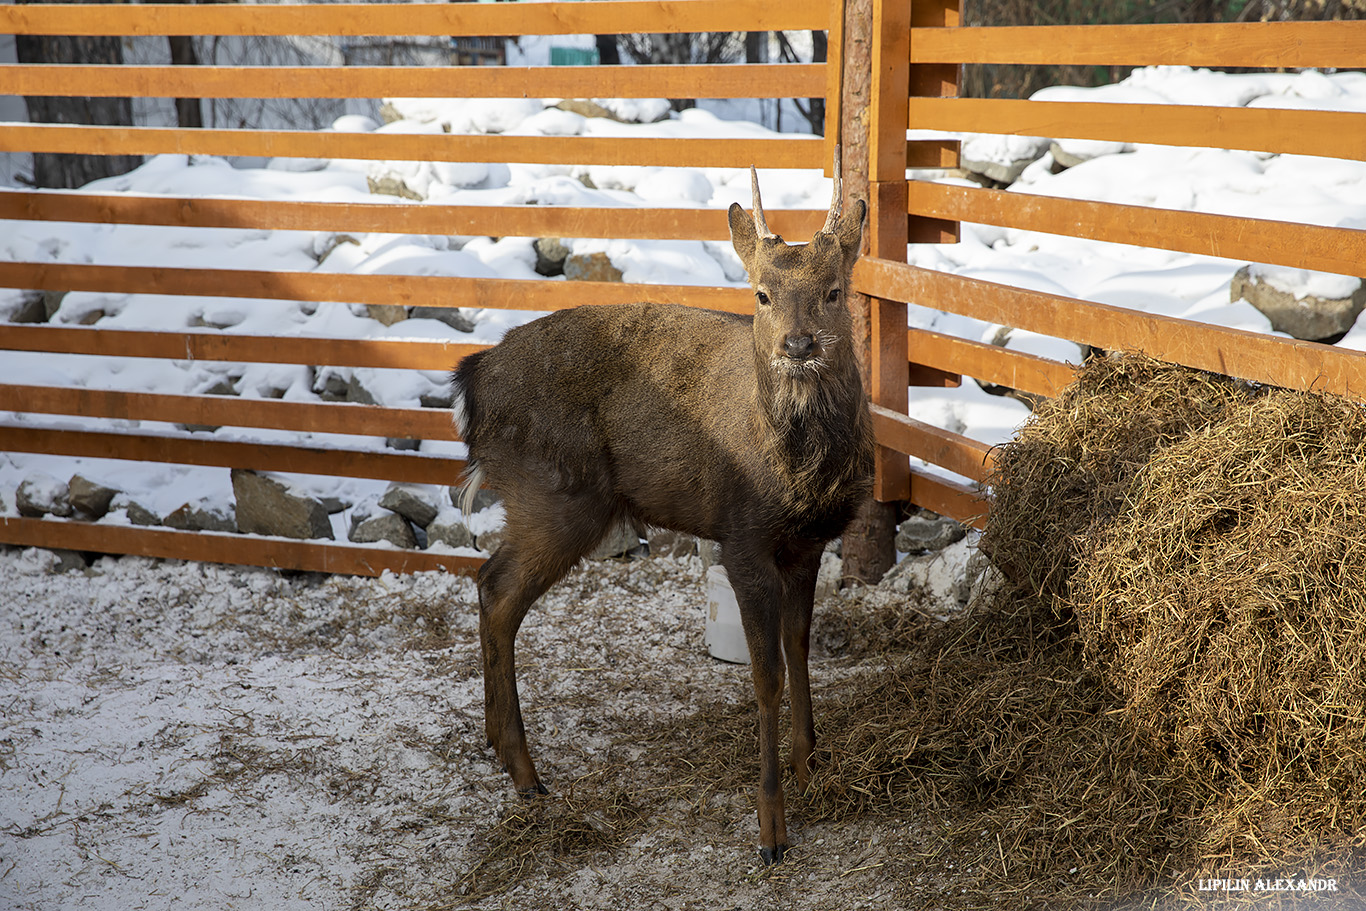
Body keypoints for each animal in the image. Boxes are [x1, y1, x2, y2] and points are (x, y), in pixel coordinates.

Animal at [453, 160, 868, 868]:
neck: (798, 472)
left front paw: (810, 765)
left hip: (542, 499)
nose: (798, 343)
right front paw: (771, 829)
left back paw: (496, 746)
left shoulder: (809, 544)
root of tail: (471, 383)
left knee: (484, 582)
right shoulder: (742, 536)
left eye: (834, 291)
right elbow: (766, 676)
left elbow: (801, 649)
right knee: (499, 591)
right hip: (555, 494)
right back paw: (527, 774)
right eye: (761, 294)